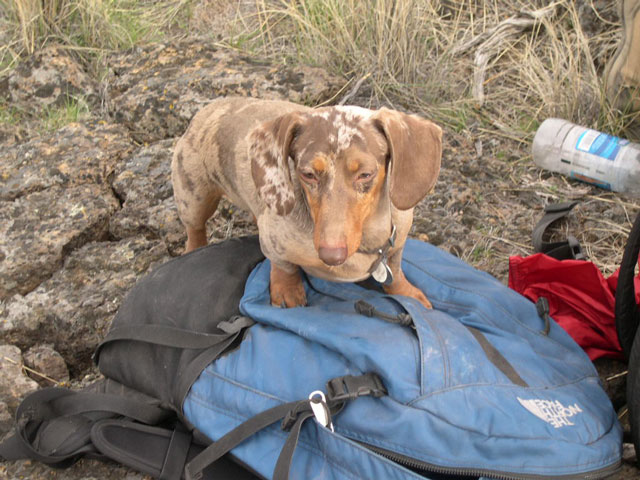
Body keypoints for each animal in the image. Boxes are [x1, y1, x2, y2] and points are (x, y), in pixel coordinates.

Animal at [172, 96, 442, 308]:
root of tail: (207, 109)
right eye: (308, 174)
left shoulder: (397, 244)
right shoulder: (273, 242)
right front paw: (287, 291)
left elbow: (395, 270)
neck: (367, 241)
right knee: (195, 229)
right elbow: (284, 266)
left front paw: (407, 294)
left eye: (365, 174)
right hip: (193, 197)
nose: (331, 255)